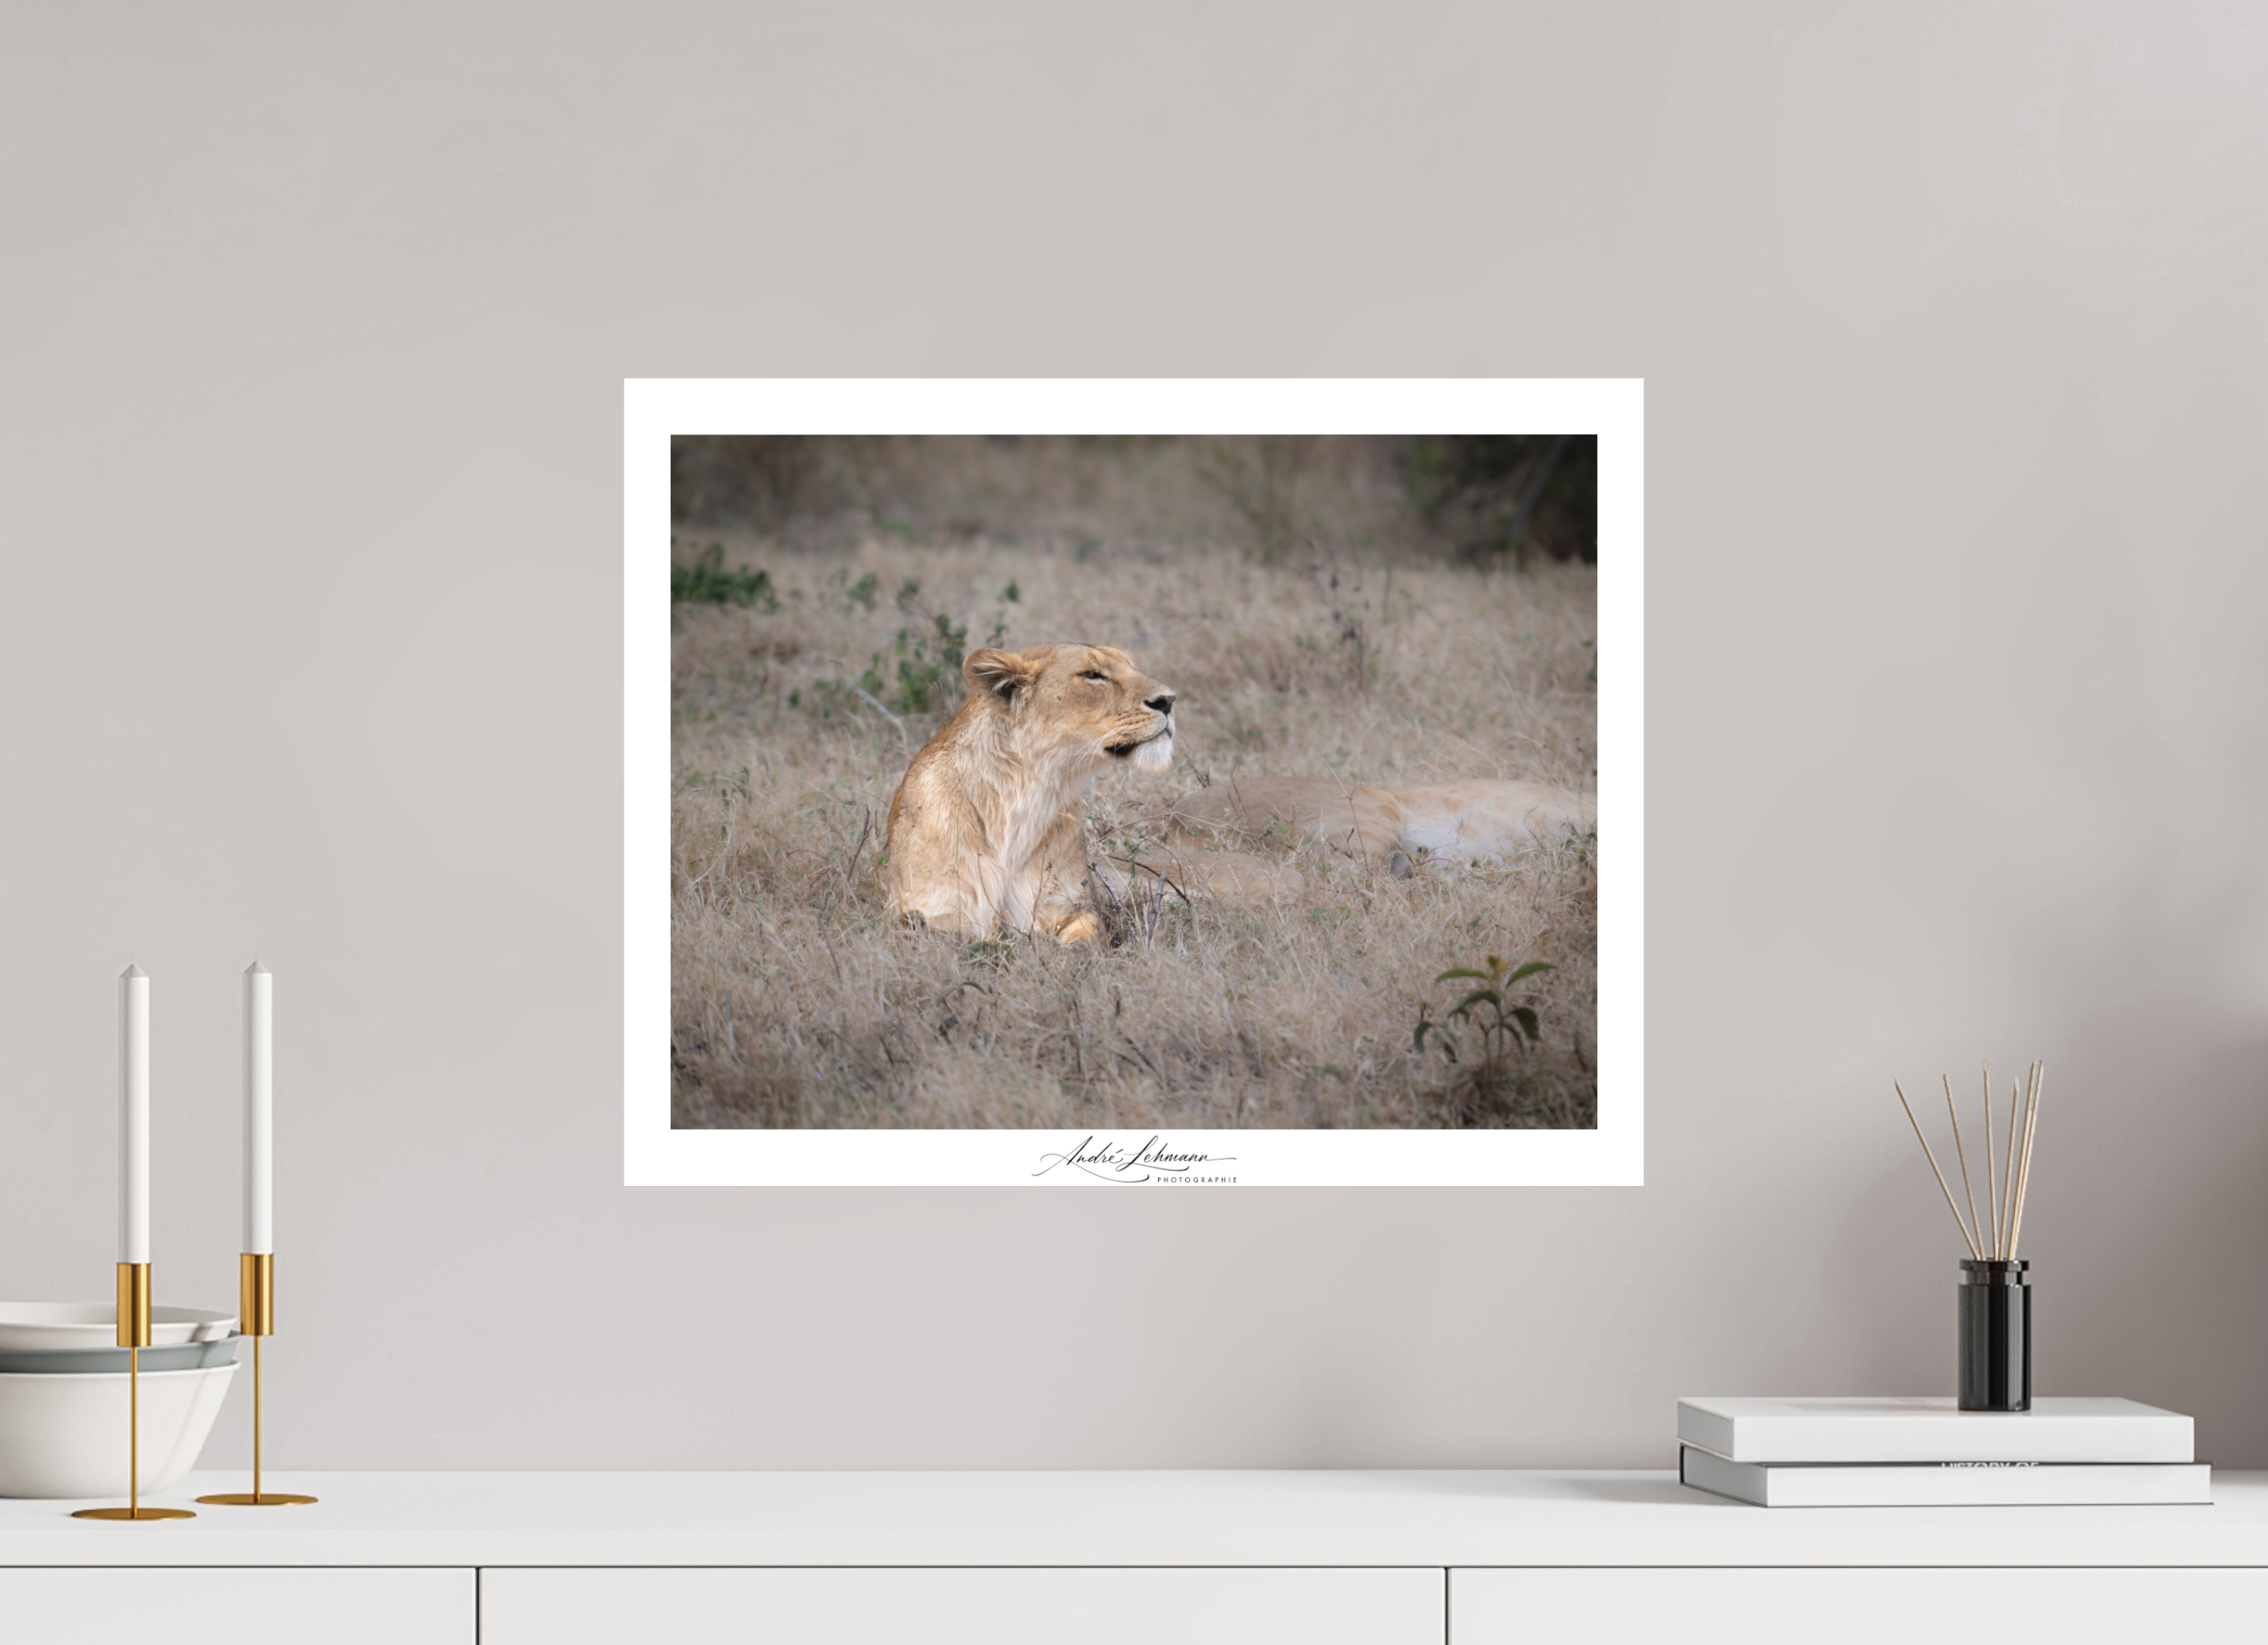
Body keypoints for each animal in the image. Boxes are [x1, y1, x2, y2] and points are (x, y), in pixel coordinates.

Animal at [884, 642, 1177, 942]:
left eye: (1131, 667)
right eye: (1092, 675)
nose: (1168, 700)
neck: (1026, 796)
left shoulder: (1072, 907)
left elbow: (1085, 937)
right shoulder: (929, 913)